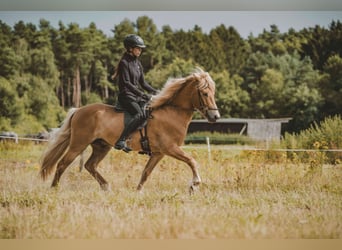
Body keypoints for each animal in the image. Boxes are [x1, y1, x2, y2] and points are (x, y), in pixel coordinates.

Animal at [40, 68, 220, 193]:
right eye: (205, 93)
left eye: (213, 92)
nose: (215, 116)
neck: (172, 112)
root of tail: (78, 110)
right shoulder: (170, 148)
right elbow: (191, 160)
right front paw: (195, 184)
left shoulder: (158, 153)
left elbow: (145, 173)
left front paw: (137, 192)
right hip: (79, 144)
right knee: (62, 164)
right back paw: (54, 189)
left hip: (101, 146)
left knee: (90, 165)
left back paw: (106, 187)